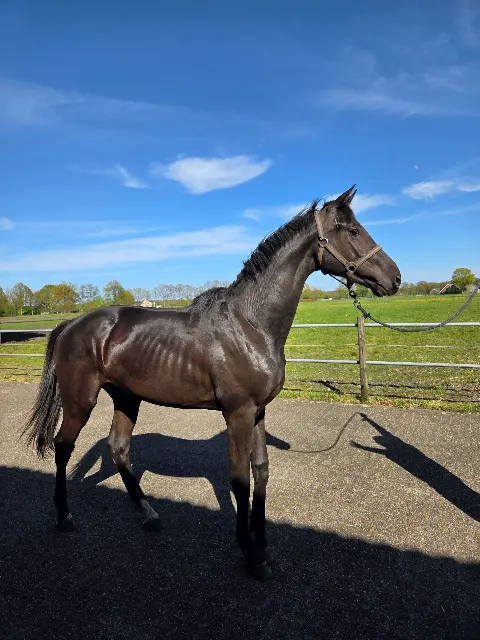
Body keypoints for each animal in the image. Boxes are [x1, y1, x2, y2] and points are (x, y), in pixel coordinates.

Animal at [23, 185, 401, 580]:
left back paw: (150, 516)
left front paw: (263, 546)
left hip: (127, 398)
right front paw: (250, 554)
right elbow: (240, 480)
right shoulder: (238, 413)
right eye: (353, 231)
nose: (395, 278)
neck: (251, 324)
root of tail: (72, 324)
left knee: (119, 449)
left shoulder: (258, 412)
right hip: (80, 401)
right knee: (63, 446)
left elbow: (261, 471)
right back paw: (64, 517)